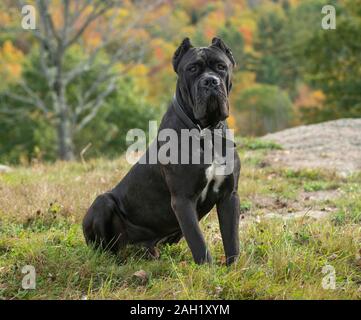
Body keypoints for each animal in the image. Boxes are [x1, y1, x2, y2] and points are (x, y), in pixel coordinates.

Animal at [81, 37, 239, 264]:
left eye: (221, 67)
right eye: (192, 69)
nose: (210, 81)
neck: (206, 130)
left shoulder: (229, 195)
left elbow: (232, 239)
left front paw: (235, 268)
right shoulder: (183, 200)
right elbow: (199, 243)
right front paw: (208, 269)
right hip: (103, 202)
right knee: (104, 246)